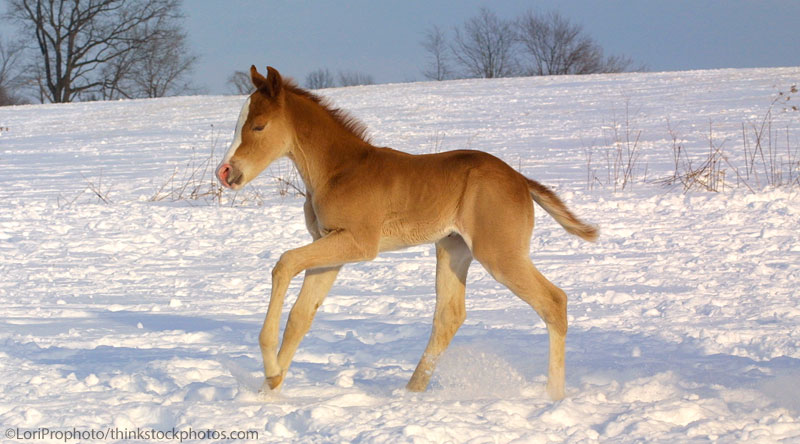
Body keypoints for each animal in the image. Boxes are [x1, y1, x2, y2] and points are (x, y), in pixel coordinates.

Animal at [216, 67, 596, 402]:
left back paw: (554, 396)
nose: (224, 172)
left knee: (553, 302)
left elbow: (283, 264)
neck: (338, 170)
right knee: (449, 316)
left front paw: (269, 372)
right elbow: (301, 315)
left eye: (258, 125)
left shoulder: (358, 243)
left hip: (499, 254)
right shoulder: (329, 245)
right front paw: (270, 388)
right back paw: (411, 393)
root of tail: (521, 181)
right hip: (453, 249)